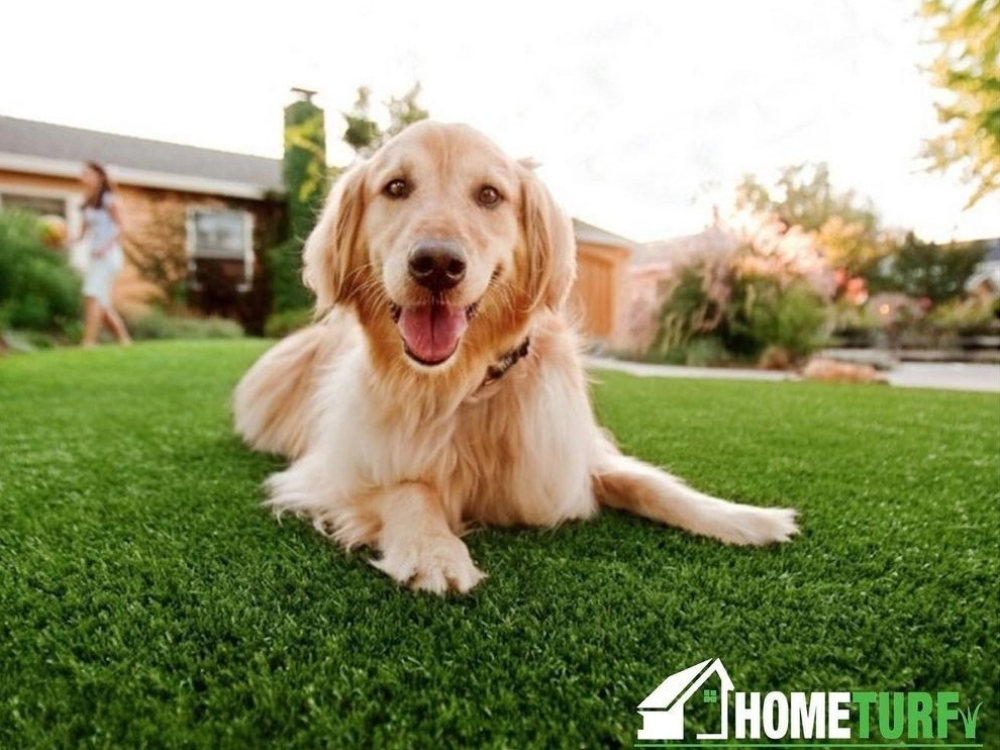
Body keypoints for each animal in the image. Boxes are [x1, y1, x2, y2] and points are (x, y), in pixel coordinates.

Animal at [232, 122, 796, 592]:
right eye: (395, 187)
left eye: (489, 195)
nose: (437, 264)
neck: (464, 386)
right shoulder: (333, 469)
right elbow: (410, 488)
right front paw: (434, 552)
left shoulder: (567, 456)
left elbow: (649, 483)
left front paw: (745, 518)